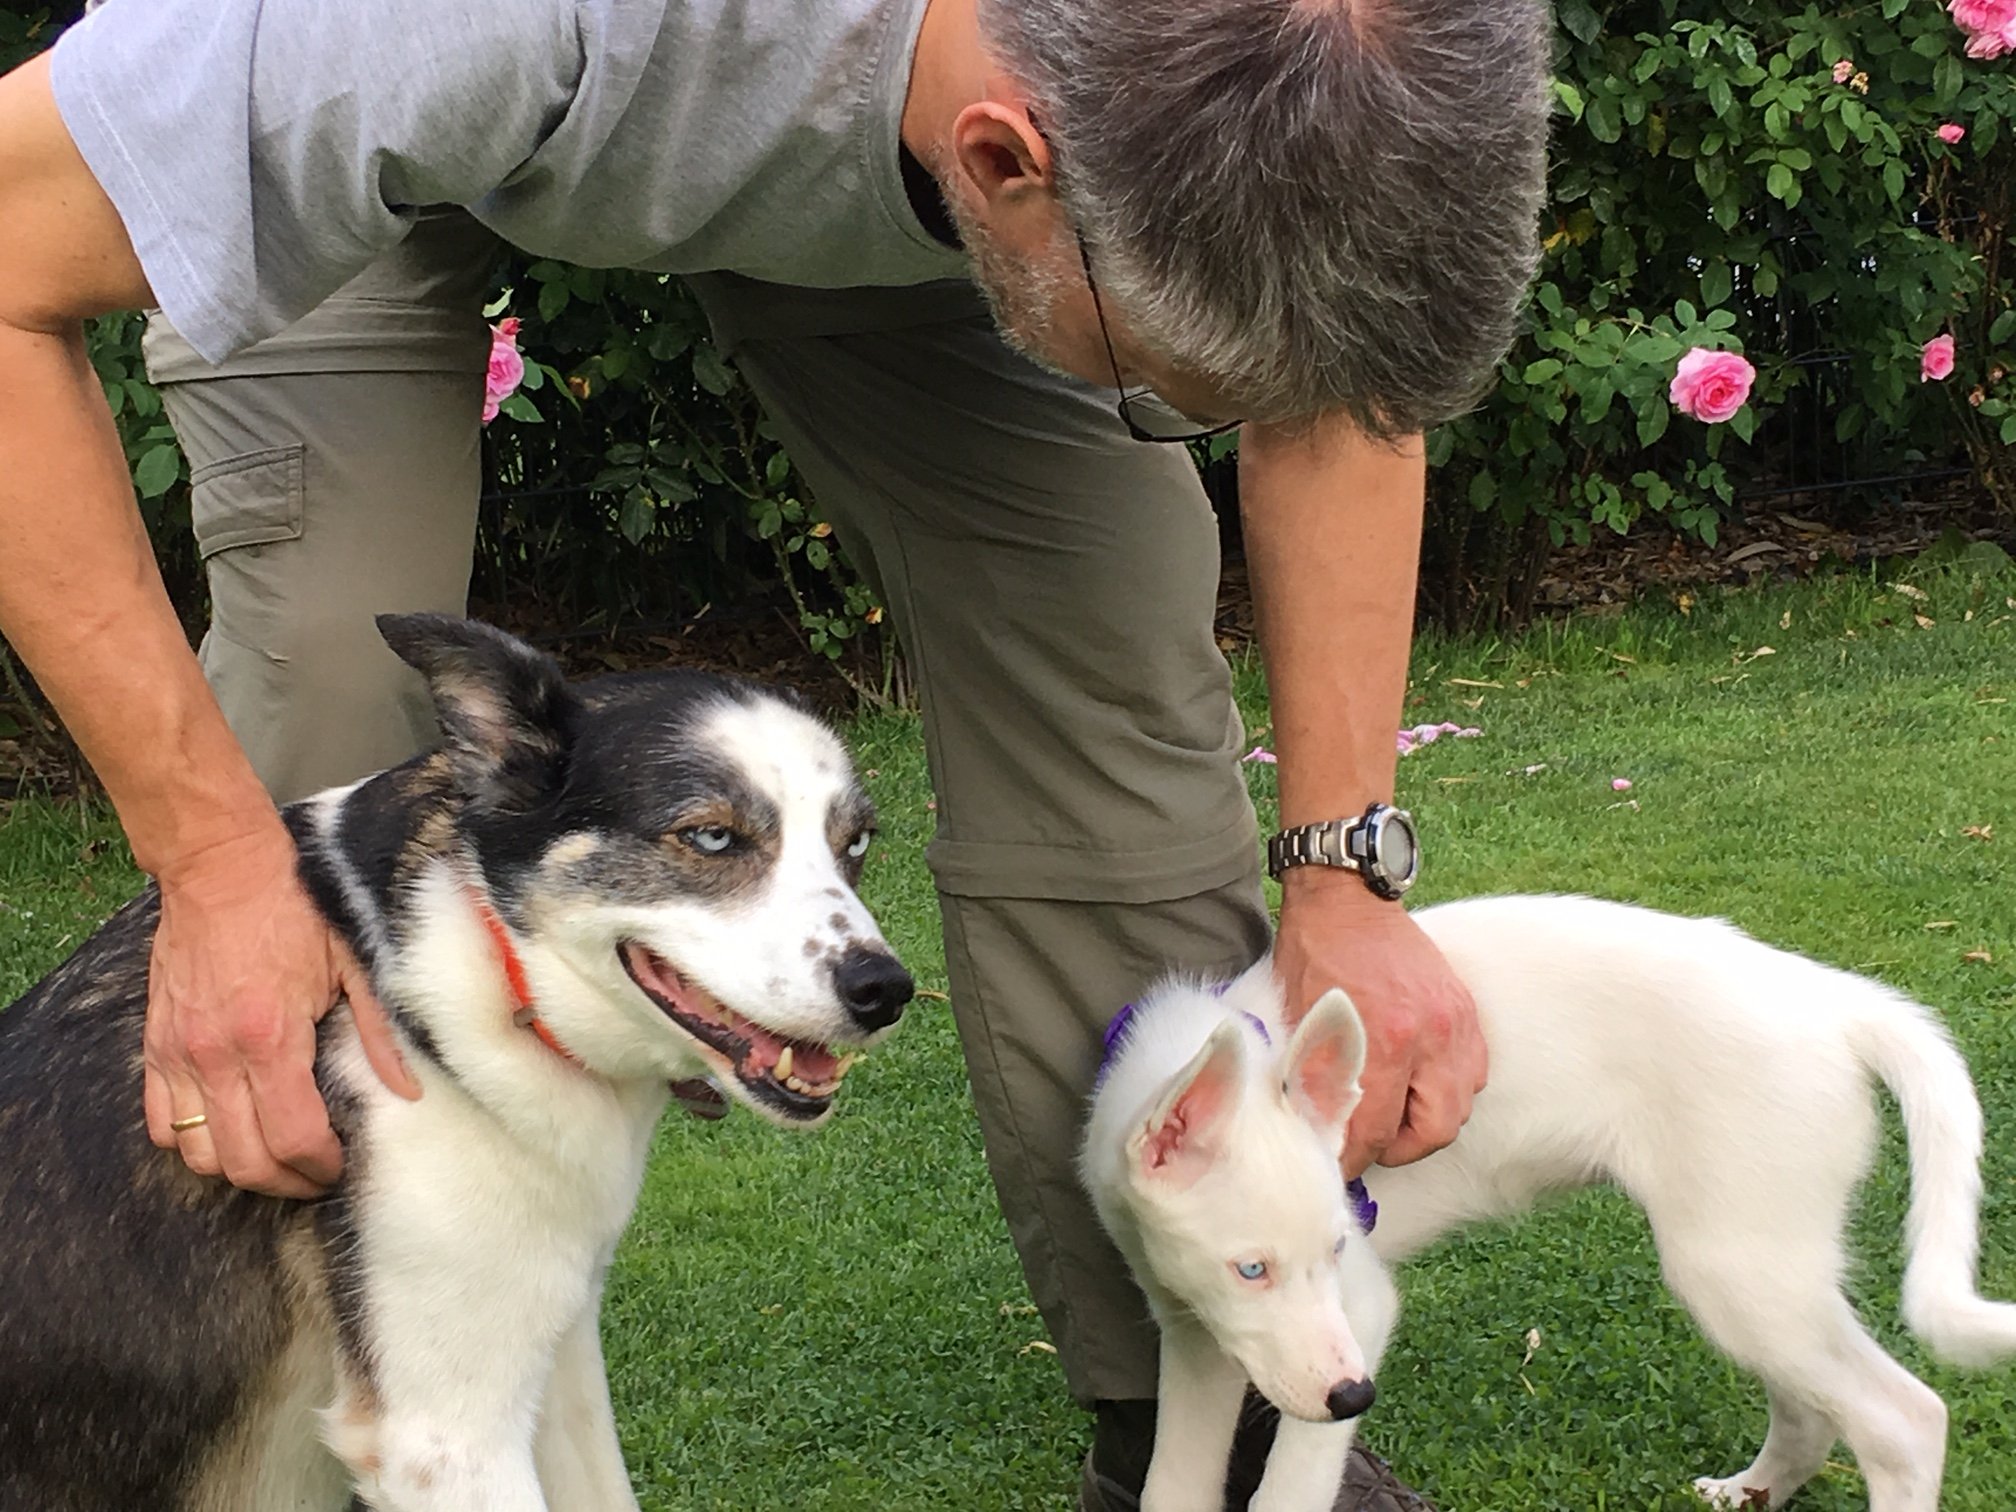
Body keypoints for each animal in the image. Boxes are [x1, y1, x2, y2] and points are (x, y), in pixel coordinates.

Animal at [0, 614, 913, 1512]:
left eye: (856, 844)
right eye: (713, 836)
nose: (887, 990)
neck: (497, 967)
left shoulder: (554, 1344)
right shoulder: (443, 1436)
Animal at [1083, 894, 2016, 1512]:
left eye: (1338, 1251)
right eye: (1251, 1270)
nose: (1354, 1400)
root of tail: (1834, 1003)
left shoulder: (1361, 1309)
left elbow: (1287, 1488)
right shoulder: (1199, 1338)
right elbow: (1171, 1484)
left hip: (1738, 1262)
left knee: (1905, 1420)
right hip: (1760, 1273)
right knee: (1811, 1406)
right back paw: (1749, 1491)